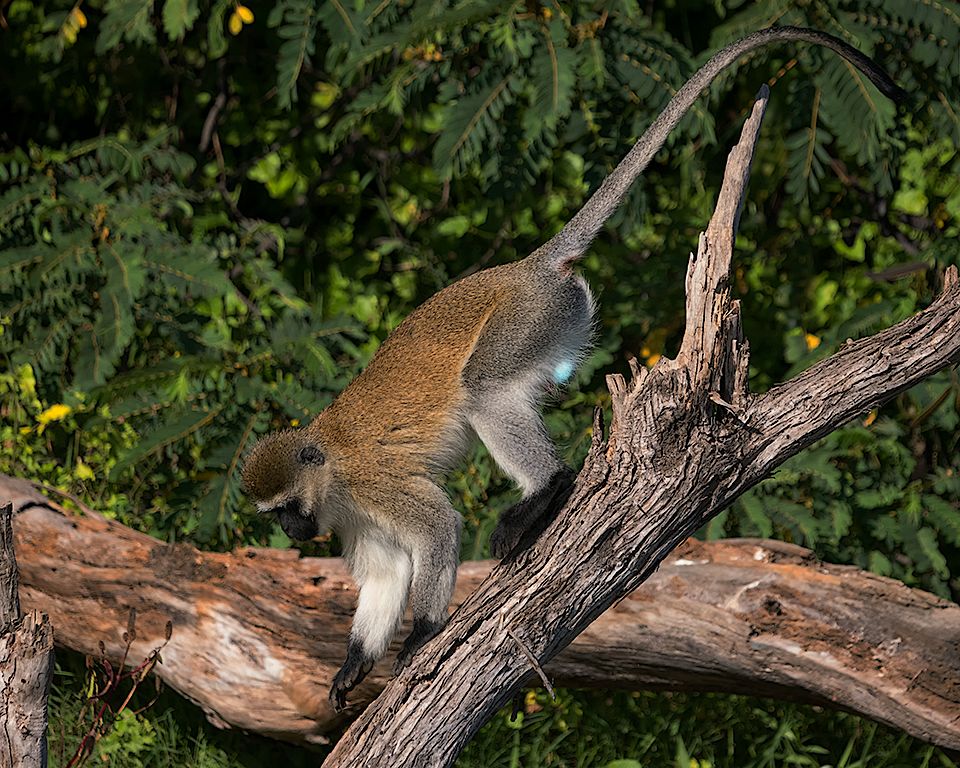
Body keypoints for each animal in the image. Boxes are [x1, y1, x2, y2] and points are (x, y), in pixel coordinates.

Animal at [241, 26, 905, 711]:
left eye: (286, 507)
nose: (291, 530)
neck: (328, 471)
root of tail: (526, 268)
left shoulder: (370, 484)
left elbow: (437, 528)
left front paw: (422, 635)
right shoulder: (351, 515)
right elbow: (387, 570)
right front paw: (353, 665)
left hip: (530, 318)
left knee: (482, 389)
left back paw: (546, 489)